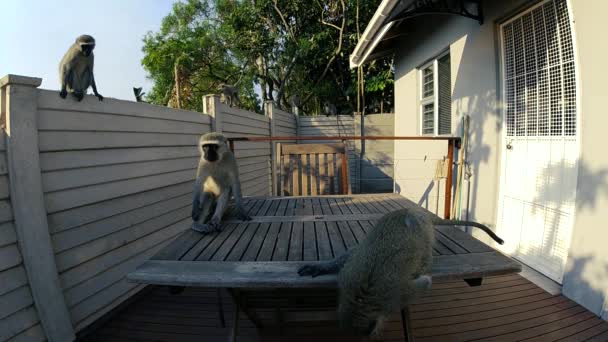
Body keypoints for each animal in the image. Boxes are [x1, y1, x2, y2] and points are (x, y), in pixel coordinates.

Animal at [298, 208, 504, 340]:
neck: (361, 300)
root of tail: (414, 212)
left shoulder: (396, 297)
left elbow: (423, 284)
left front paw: (424, 278)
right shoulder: (348, 277)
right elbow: (351, 255)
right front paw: (323, 267)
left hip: (425, 235)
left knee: (425, 255)